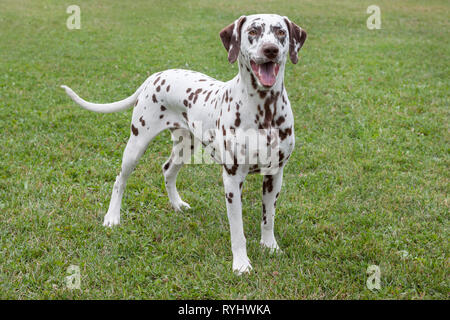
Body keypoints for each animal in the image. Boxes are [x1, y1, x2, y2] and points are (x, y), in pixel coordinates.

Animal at [61, 13, 306, 274]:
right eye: (253, 31)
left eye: (280, 32)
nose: (270, 49)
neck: (264, 110)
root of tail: (155, 76)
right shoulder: (232, 180)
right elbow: (237, 231)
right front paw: (241, 263)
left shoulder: (275, 175)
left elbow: (268, 218)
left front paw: (270, 247)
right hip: (136, 145)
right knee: (120, 180)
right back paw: (112, 217)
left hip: (185, 147)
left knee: (167, 170)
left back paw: (177, 204)